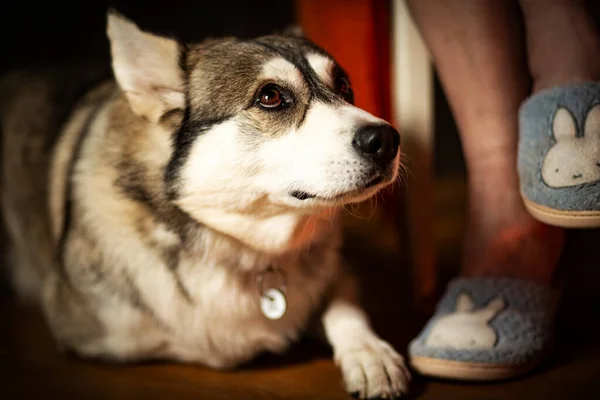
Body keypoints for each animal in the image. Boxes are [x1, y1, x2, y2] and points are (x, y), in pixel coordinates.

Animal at [0, 10, 410, 398]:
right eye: (270, 97)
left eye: (344, 86)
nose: (386, 140)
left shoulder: (335, 270)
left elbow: (345, 306)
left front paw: (371, 355)